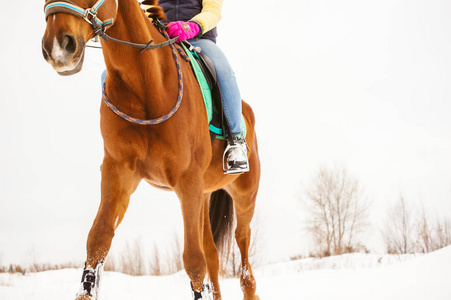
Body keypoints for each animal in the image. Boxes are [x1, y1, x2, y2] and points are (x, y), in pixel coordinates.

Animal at [42, 0, 262, 300]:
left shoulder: (187, 181)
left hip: (243, 196)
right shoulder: (119, 173)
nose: (57, 48)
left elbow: (193, 261)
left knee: (244, 260)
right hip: (203, 195)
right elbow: (97, 240)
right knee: (213, 256)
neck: (147, 86)